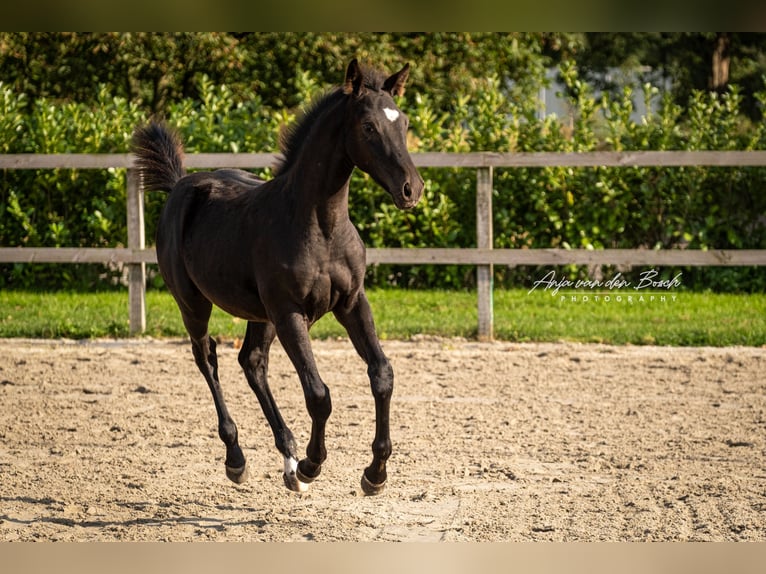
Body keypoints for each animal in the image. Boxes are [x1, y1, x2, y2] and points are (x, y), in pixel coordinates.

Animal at [131, 59, 424, 495]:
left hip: (259, 313)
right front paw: (312, 464)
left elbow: (382, 375)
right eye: (369, 126)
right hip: (194, 304)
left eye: (402, 121)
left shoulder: (352, 303)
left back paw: (286, 457)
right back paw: (238, 459)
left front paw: (375, 474)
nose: (411, 189)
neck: (320, 225)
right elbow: (318, 393)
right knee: (207, 358)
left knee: (251, 361)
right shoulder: (289, 313)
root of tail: (179, 185)